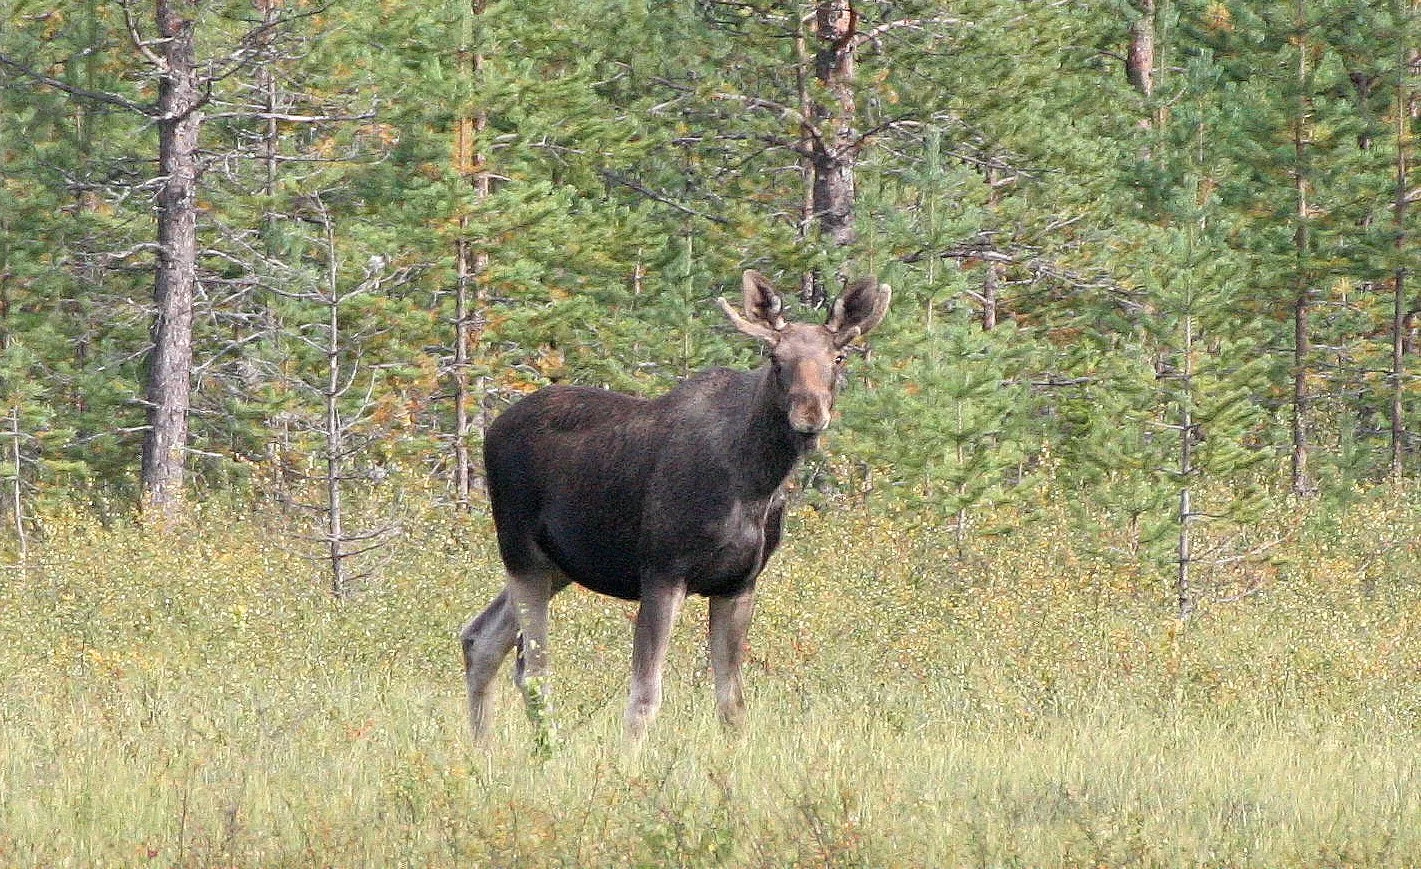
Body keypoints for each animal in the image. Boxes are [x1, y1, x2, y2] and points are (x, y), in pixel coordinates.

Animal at [459, 269, 890, 745]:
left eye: (839, 358)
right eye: (776, 360)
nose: (809, 416)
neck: (757, 483)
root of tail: (491, 430)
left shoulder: (739, 583)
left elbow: (732, 704)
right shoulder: (663, 572)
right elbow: (645, 698)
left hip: (558, 566)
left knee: (481, 638)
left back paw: (485, 749)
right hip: (521, 553)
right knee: (532, 669)